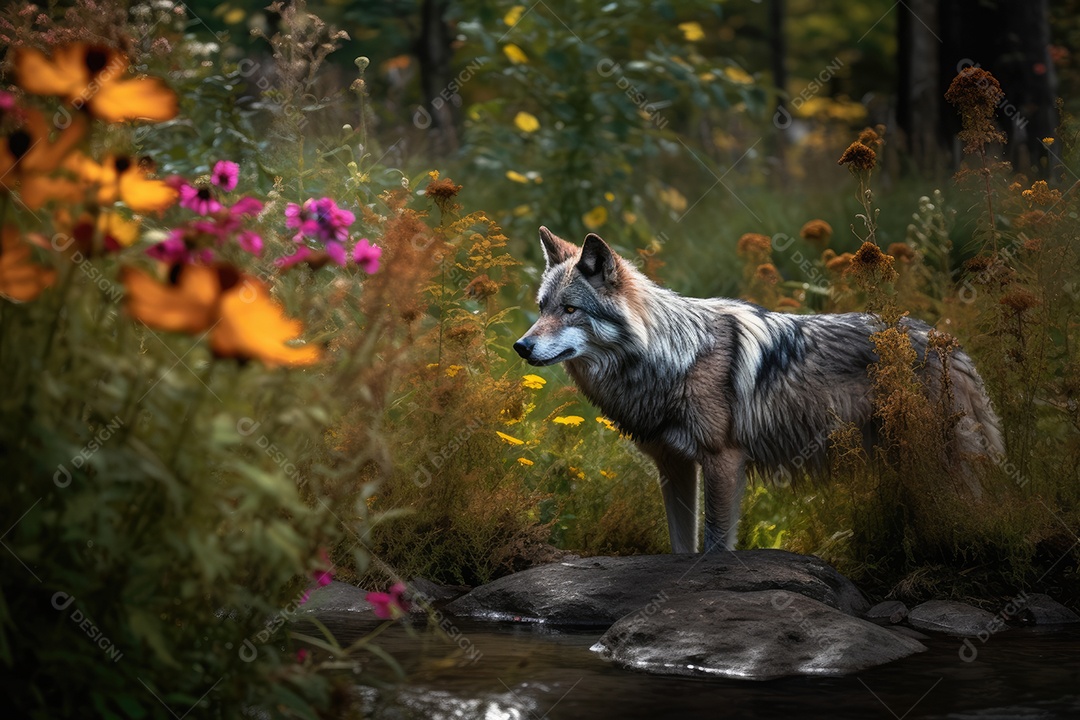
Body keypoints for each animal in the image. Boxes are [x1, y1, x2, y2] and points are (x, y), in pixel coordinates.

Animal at [513, 227, 1004, 553]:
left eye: (570, 310)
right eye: (541, 308)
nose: (521, 346)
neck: (670, 357)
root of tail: (950, 342)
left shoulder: (723, 461)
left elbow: (715, 547)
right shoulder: (674, 466)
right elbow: (680, 548)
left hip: (942, 464)